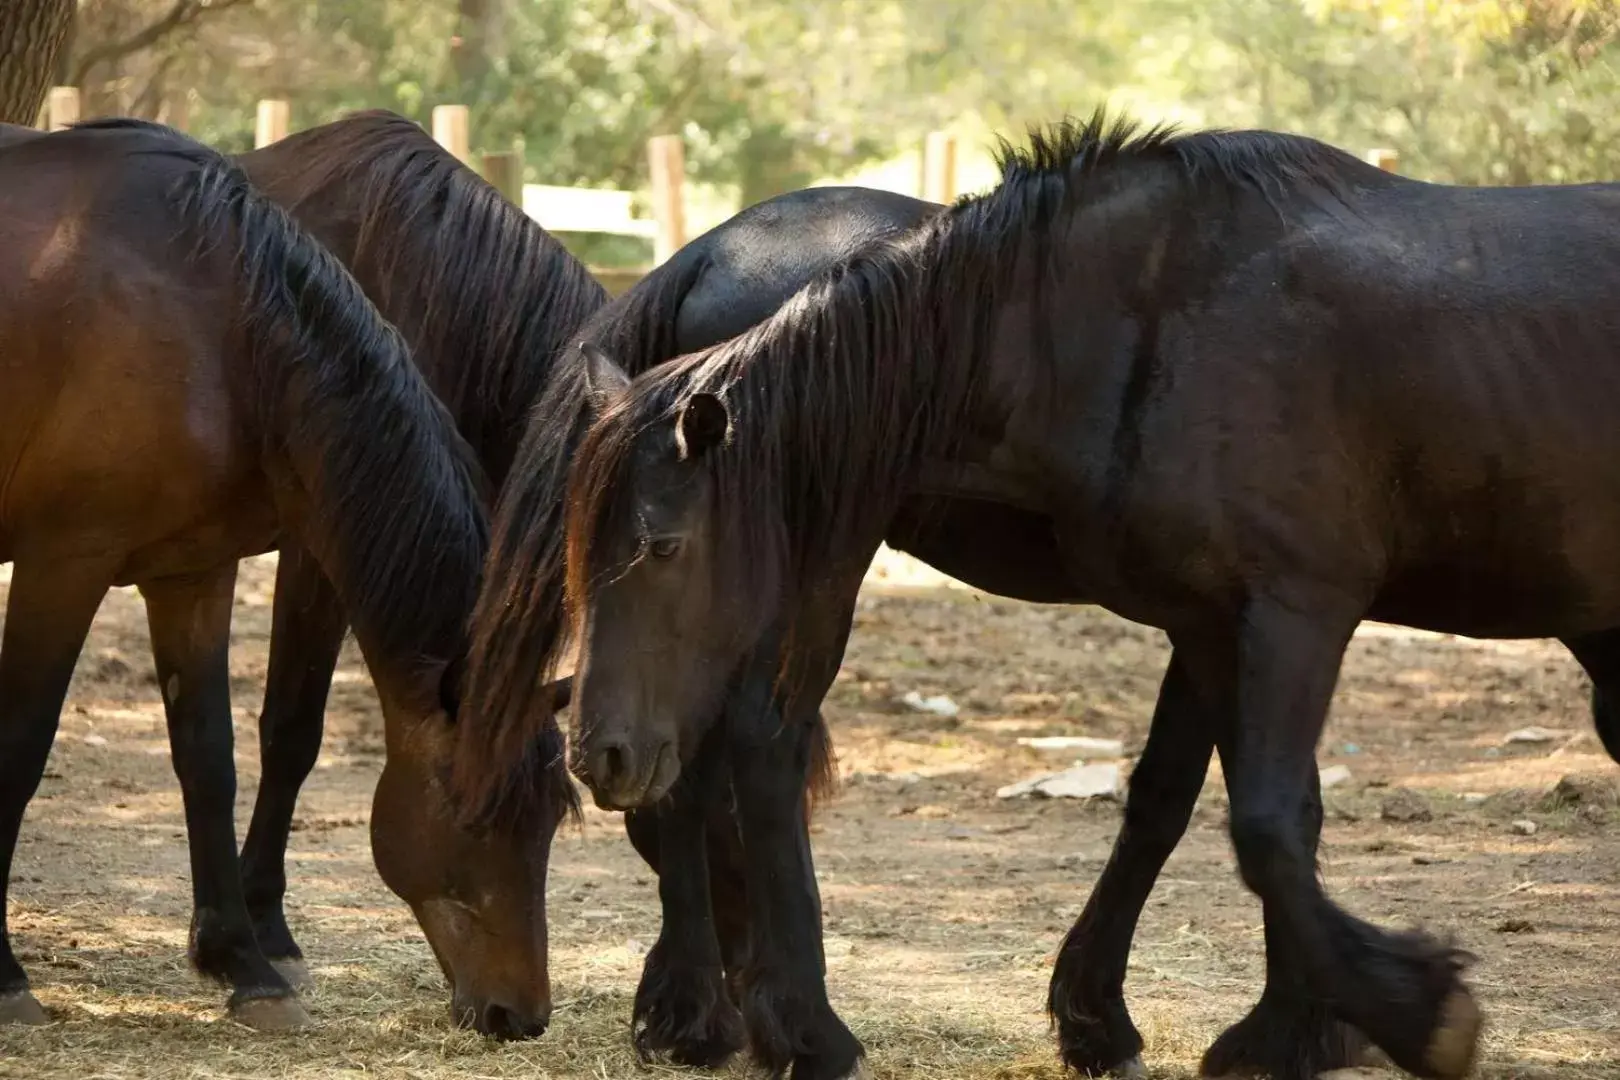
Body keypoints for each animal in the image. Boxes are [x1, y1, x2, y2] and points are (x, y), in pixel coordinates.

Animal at [0, 120, 560, 1036]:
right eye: (475, 816)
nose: (522, 1014)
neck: (215, 324)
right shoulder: (65, 563)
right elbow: (23, 746)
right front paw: (5, 976)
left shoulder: (193, 571)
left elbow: (209, 757)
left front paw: (241, 962)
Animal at [550, 111, 1620, 1080]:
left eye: (662, 546)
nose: (594, 753)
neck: (1149, 314)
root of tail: (715, 248)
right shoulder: (1280, 615)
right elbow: (1268, 820)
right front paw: (1398, 1011)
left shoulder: (1231, 616)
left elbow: (1203, 804)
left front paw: (1209, 1023)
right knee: (748, 755)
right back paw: (765, 1023)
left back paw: (724, 1013)